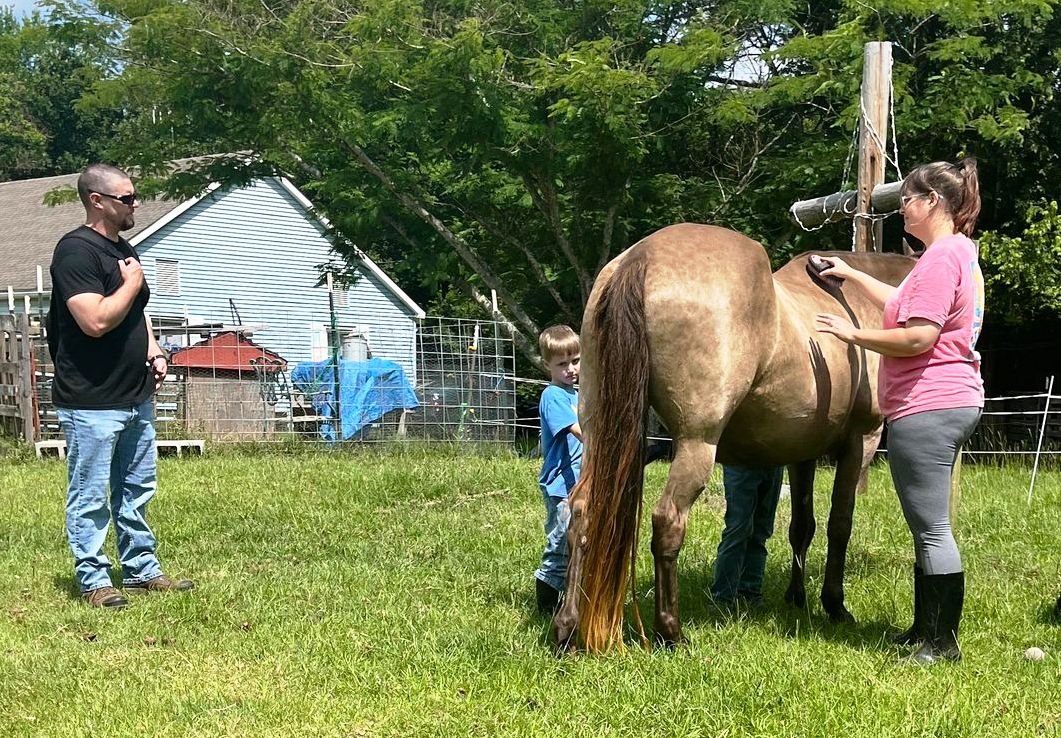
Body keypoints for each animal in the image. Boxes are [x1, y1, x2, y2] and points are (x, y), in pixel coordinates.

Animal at [555, 223, 912, 653]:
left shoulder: (802, 454)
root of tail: (641, 257)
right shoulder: (862, 440)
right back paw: (670, 631)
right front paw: (834, 604)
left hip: (600, 435)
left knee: (582, 511)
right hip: (697, 444)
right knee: (667, 521)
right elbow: (839, 524)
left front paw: (796, 597)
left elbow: (802, 525)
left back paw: (567, 627)